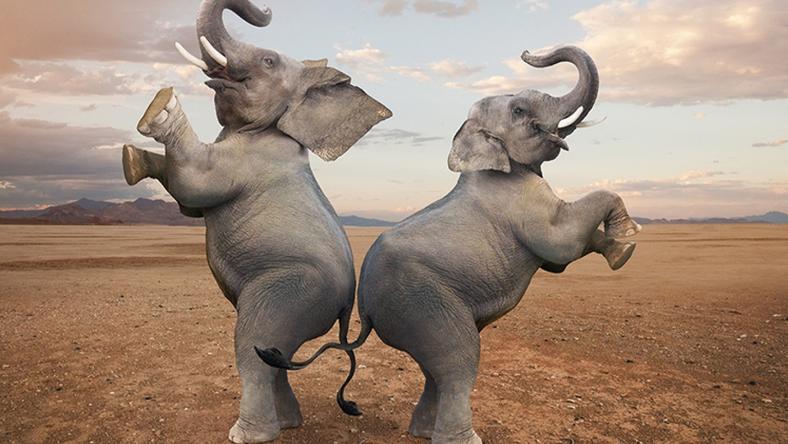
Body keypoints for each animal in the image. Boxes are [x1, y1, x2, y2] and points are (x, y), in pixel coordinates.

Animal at [121, 0, 391, 442]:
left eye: (267, 61)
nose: (265, 10)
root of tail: (344, 315)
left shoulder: (247, 163)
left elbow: (194, 185)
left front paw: (161, 108)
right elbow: (188, 203)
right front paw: (131, 158)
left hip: (289, 290)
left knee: (254, 348)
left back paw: (246, 434)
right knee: (276, 356)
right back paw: (287, 424)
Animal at [258, 46, 640, 443]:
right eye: (519, 111)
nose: (527, 52)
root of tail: (365, 315)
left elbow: (562, 255)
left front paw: (618, 247)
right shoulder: (519, 204)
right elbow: (561, 245)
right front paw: (626, 244)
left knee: (436, 370)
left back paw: (424, 432)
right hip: (424, 303)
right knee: (458, 360)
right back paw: (462, 438)